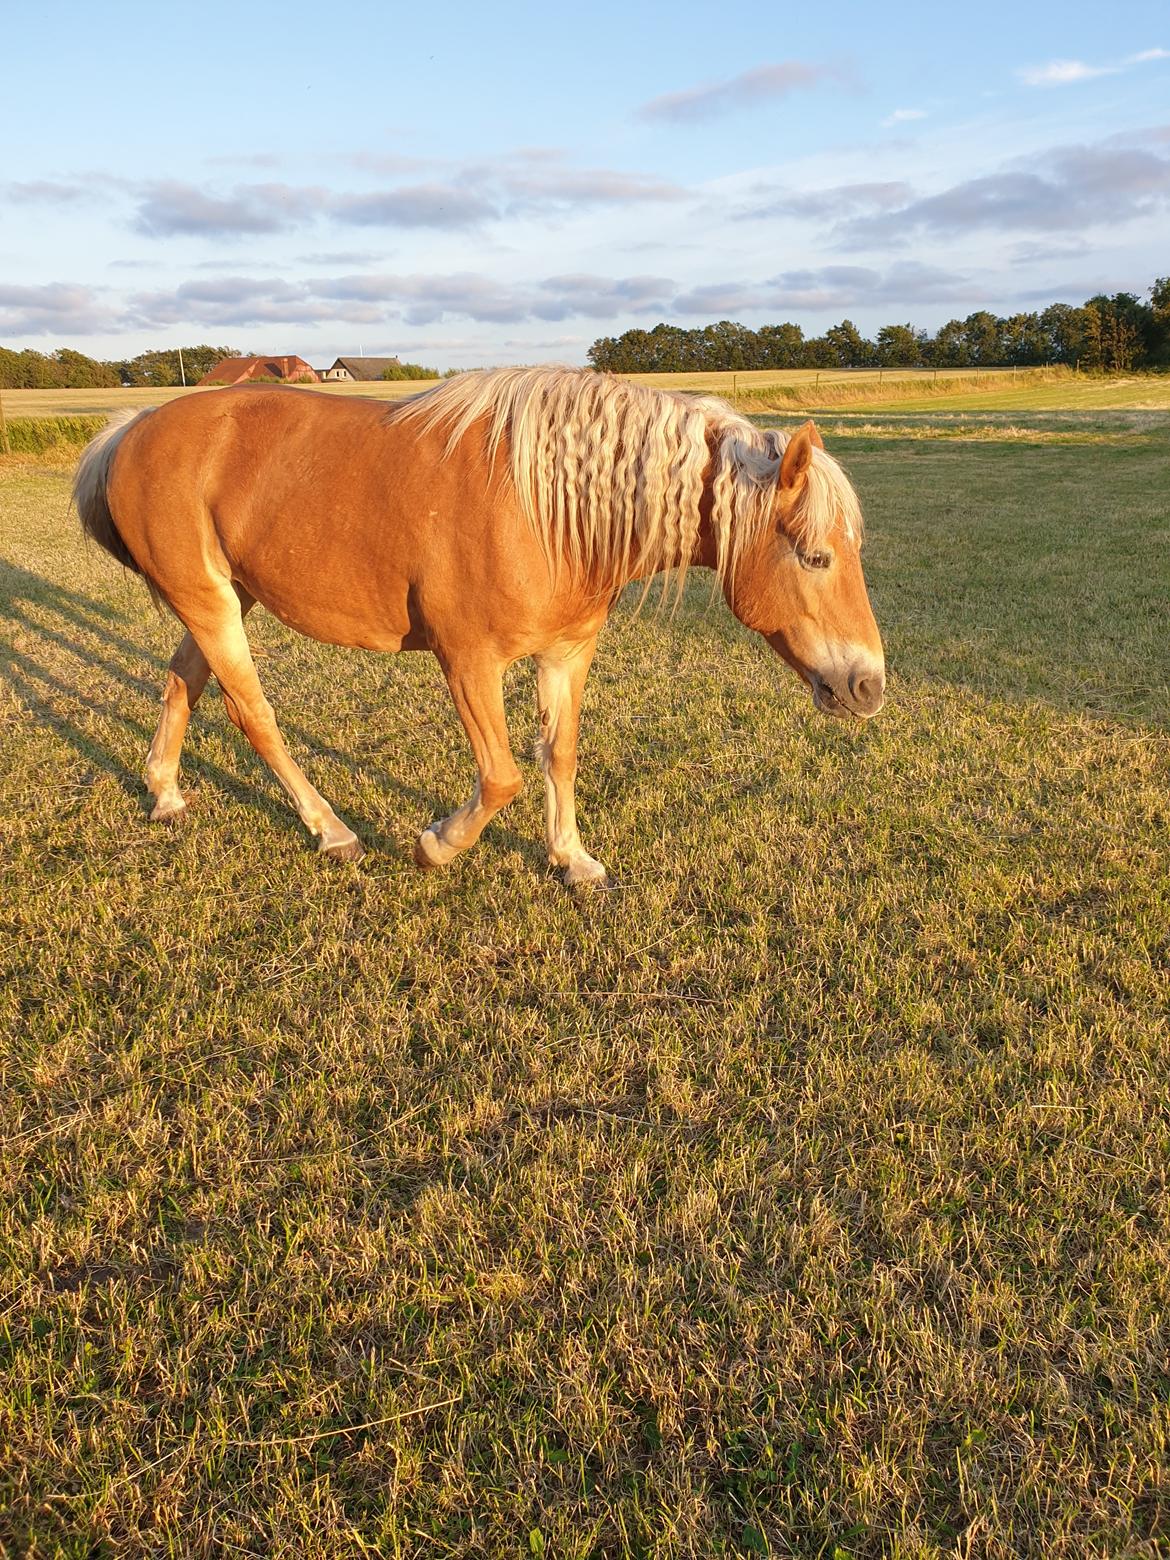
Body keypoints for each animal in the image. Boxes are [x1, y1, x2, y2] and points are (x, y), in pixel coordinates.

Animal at [73, 361, 886, 879]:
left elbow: (558, 755)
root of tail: (134, 428)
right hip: (210, 603)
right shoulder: (468, 661)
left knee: (181, 682)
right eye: (816, 557)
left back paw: (165, 793)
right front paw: (435, 846)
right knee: (253, 714)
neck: (546, 508)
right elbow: (500, 779)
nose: (868, 687)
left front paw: (571, 860)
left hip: (222, 598)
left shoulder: (566, 654)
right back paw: (332, 832)